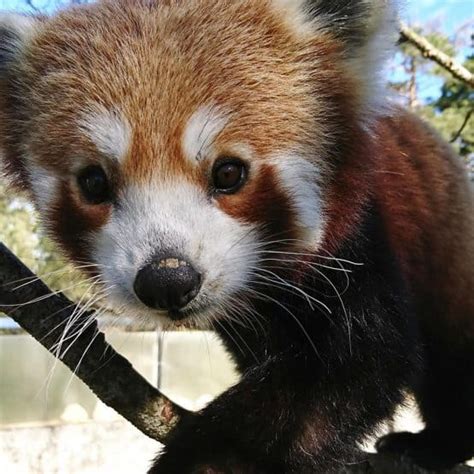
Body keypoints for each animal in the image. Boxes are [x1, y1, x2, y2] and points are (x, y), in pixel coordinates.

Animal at [0, 0, 472, 472]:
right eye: (95, 182)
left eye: (228, 173)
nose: (167, 280)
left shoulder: (357, 240)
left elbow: (362, 359)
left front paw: (202, 457)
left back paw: (437, 443)